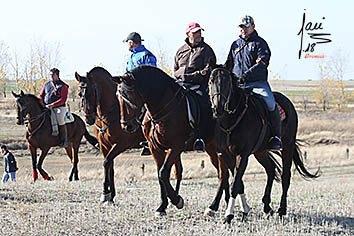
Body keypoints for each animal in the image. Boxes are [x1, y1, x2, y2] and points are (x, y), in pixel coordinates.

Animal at [75, 66, 184, 203]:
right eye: (79, 94)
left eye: (90, 93)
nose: (88, 118)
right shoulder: (104, 146)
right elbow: (110, 167)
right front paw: (111, 195)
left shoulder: (120, 145)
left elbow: (106, 162)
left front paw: (105, 193)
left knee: (177, 171)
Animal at [207, 66, 320, 223]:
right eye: (210, 81)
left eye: (228, 82)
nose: (217, 109)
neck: (231, 120)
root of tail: (288, 102)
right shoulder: (224, 153)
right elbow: (231, 180)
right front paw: (239, 210)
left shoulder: (243, 155)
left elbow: (235, 183)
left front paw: (229, 215)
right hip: (260, 152)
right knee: (271, 169)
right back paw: (267, 207)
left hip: (287, 146)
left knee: (285, 177)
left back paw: (281, 210)